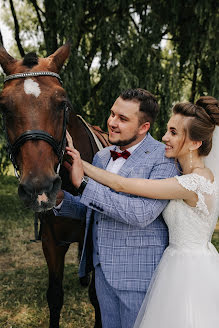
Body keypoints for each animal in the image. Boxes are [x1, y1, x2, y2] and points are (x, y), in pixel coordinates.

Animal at [0, 43, 106, 328]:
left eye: (62, 103)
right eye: (4, 108)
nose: (40, 188)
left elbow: (98, 297)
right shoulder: (50, 241)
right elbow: (55, 296)